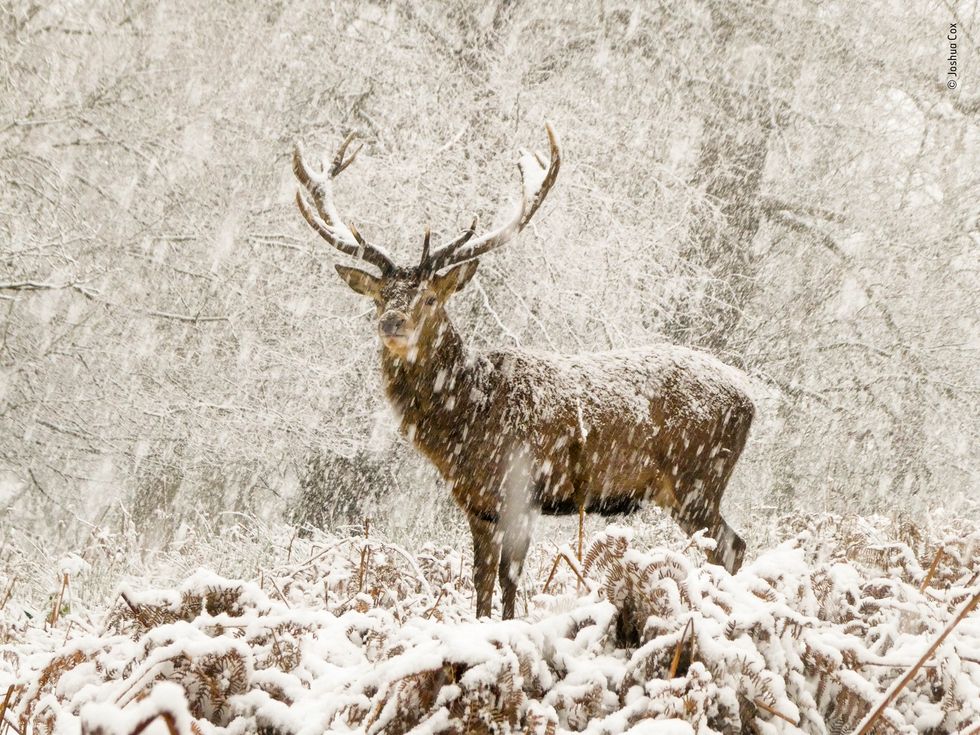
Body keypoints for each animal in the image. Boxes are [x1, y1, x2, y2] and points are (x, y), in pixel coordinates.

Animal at [292, 125, 754, 620]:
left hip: (697, 478)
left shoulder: (521, 488)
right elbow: (481, 579)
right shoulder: (478, 504)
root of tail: (750, 399)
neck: (466, 419)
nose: (392, 322)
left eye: (431, 298)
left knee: (728, 545)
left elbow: (510, 577)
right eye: (380, 297)